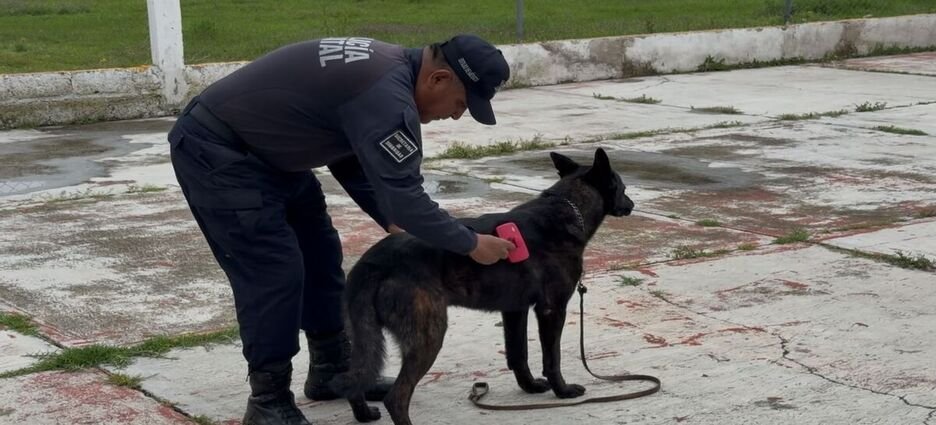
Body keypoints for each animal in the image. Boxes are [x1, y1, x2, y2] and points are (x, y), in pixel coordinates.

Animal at [331, 148, 635, 425]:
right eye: (622, 187)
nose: (631, 205)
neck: (569, 206)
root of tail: (373, 263)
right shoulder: (552, 310)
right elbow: (552, 358)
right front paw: (562, 390)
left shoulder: (515, 310)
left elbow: (518, 354)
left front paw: (530, 387)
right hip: (429, 335)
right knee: (396, 397)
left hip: (364, 337)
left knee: (354, 379)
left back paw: (363, 413)